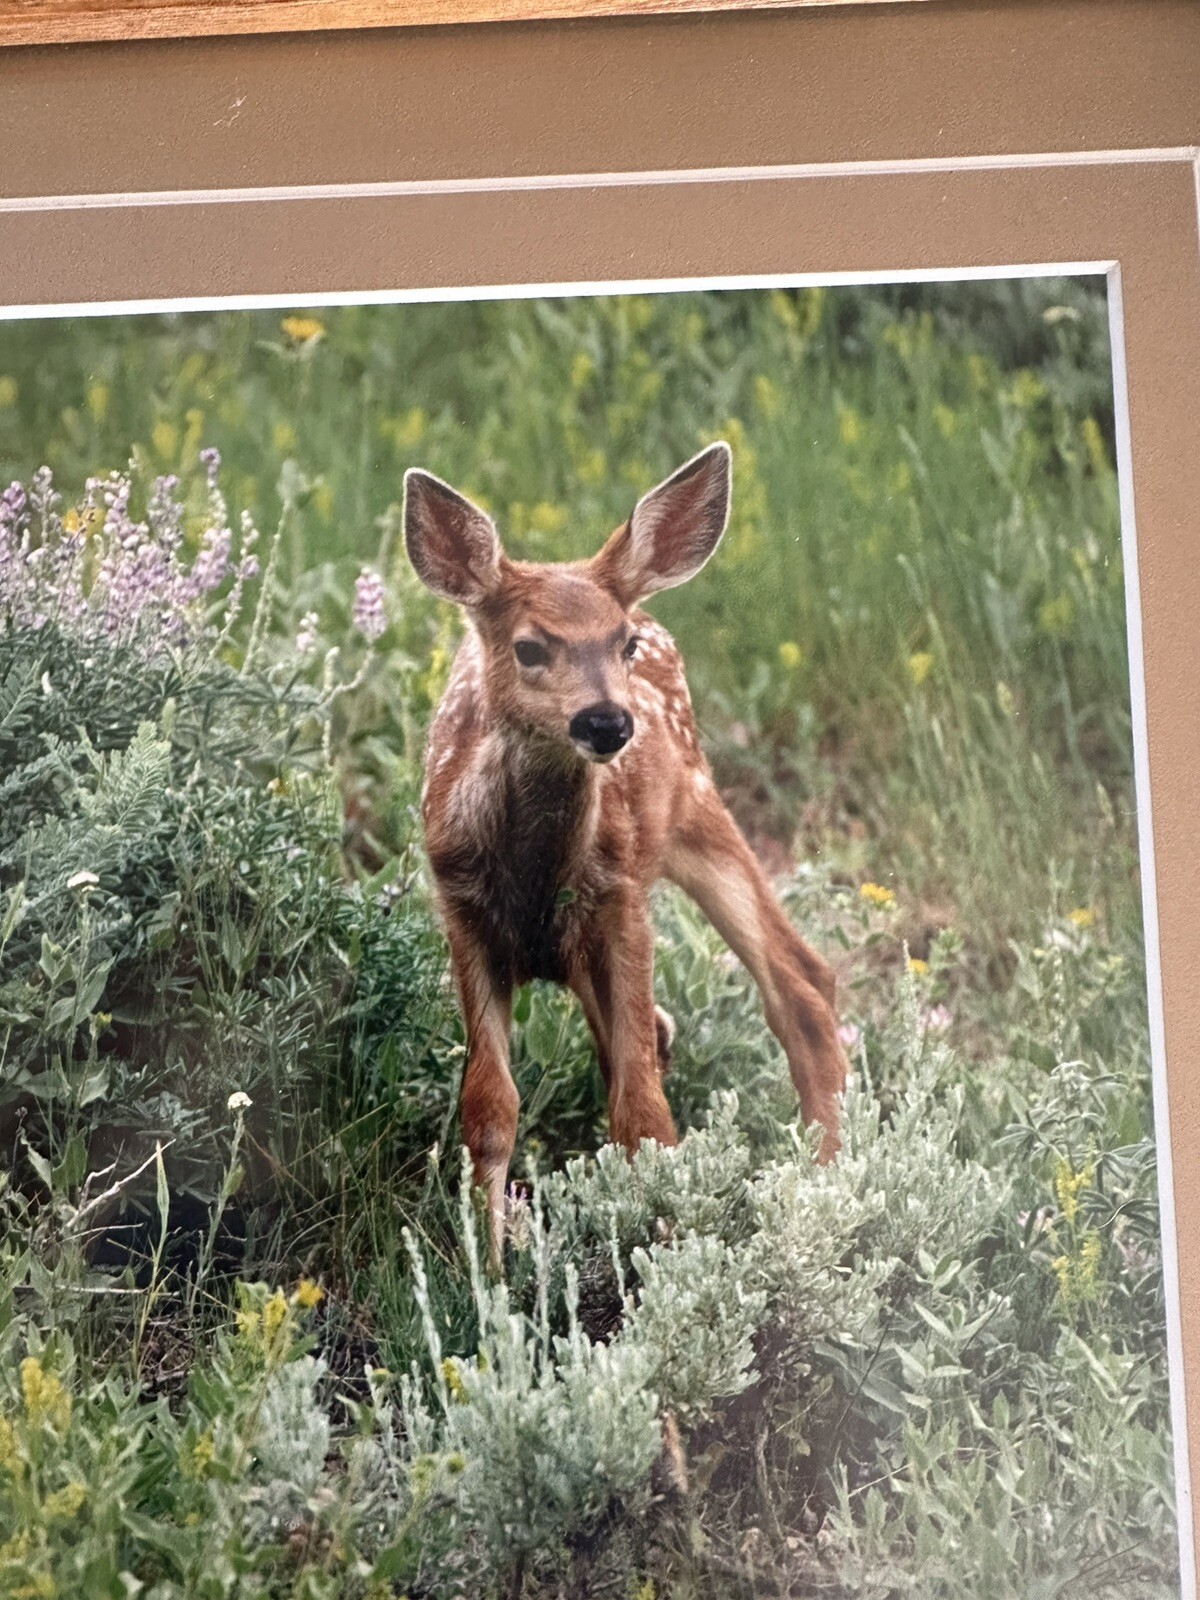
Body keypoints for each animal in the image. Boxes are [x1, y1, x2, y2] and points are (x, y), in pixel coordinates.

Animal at [403, 442, 848, 1266]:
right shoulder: (463, 916)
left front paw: (667, 1253)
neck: (534, 872)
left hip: (695, 809)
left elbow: (643, 1113)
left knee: (800, 980)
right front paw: (489, 1265)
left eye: (622, 645)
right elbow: (489, 1105)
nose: (607, 721)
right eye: (530, 647)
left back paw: (827, 1185)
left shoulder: (621, 900)